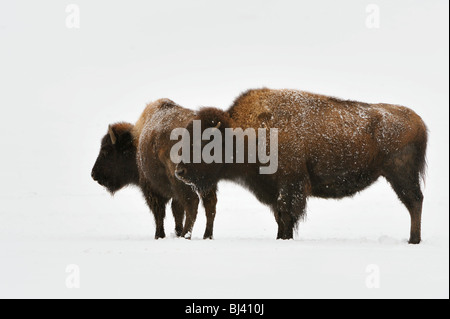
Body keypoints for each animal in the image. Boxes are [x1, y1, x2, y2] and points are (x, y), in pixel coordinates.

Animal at [91, 99, 218, 240]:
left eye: (106, 150)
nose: (94, 174)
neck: (136, 143)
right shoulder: (175, 194)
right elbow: (177, 211)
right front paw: (176, 232)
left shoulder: (151, 188)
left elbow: (159, 213)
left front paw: (159, 235)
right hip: (206, 182)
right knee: (210, 204)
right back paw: (207, 236)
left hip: (183, 181)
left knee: (193, 203)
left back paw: (186, 236)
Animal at [174, 89, 428, 244]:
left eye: (204, 141)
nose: (180, 171)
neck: (245, 133)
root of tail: (418, 121)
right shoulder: (275, 190)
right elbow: (279, 216)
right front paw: (280, 238)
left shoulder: (290, 185)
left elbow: (287, 215)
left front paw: (285, 238)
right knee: (414, 202)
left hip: (400, 174)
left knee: (414, 202)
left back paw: (413, 240)